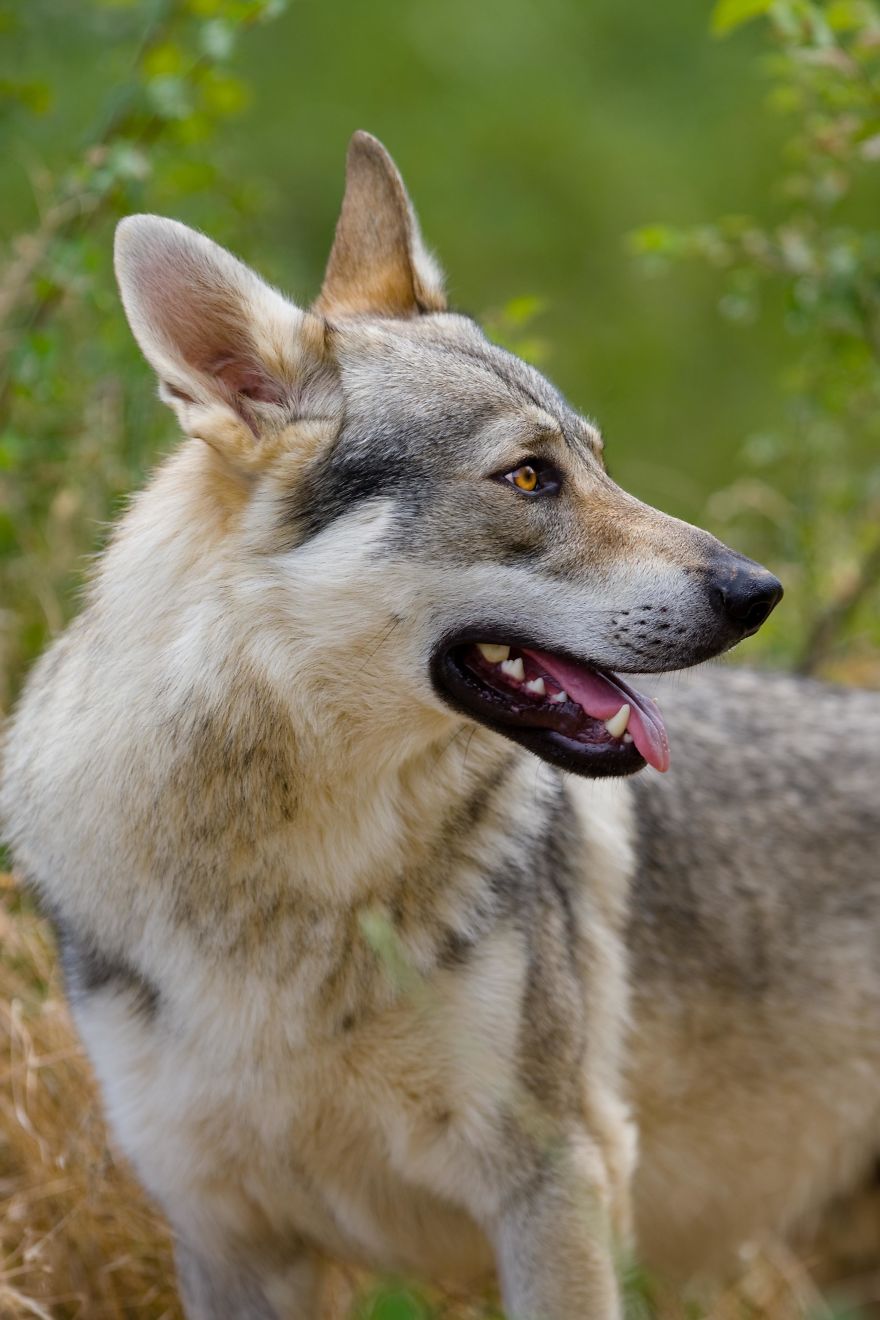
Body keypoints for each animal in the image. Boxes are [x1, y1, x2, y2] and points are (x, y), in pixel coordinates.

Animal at [2, 131, 879, 1320]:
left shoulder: (558, 1186)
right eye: (529, 476)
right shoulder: (229, 1236)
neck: (291, 881)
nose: (760, 592)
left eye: (598, 462)